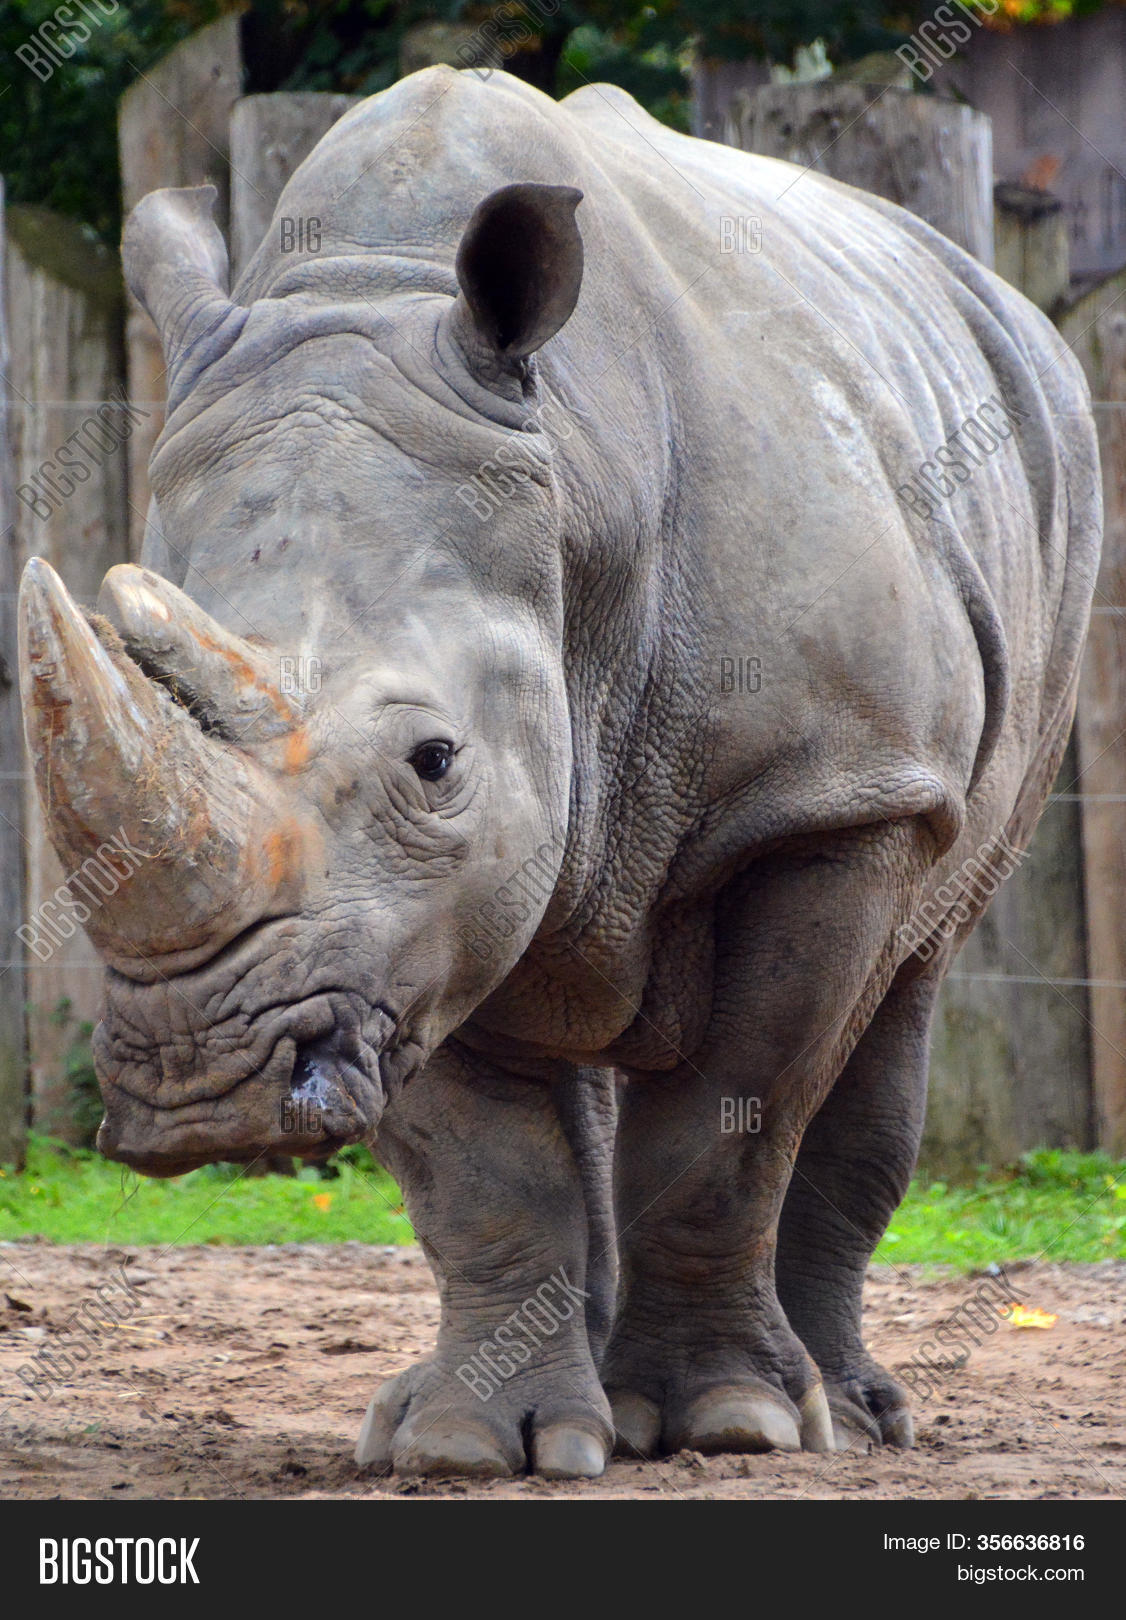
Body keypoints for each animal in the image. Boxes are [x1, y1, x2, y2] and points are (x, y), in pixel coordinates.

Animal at [18, 66, 1100, 1480]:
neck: (579, 486)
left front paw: (734, 1424)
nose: (198, 1091)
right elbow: (483, 1164)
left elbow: (731, 1121)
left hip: (1043, 522)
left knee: (907, 978)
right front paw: (470, 1447)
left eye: (434, 762)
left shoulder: (823, 794)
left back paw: (845, 1417)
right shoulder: (396, 933)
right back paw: (550, 1414)